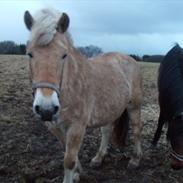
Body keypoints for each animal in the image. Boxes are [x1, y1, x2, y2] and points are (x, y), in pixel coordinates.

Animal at [23, 8, 143, 183]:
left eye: (64, 55)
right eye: (29, 54)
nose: (46, 109)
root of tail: (129, 58)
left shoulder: (77, 127)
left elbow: (69, 161)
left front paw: (72, 176)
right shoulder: (56, 128)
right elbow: (70, 155)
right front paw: (78, 174)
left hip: (134, 106)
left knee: (137, 130)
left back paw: (135, 160)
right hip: (110, 107)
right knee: (106, 130)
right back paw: (98, 158)